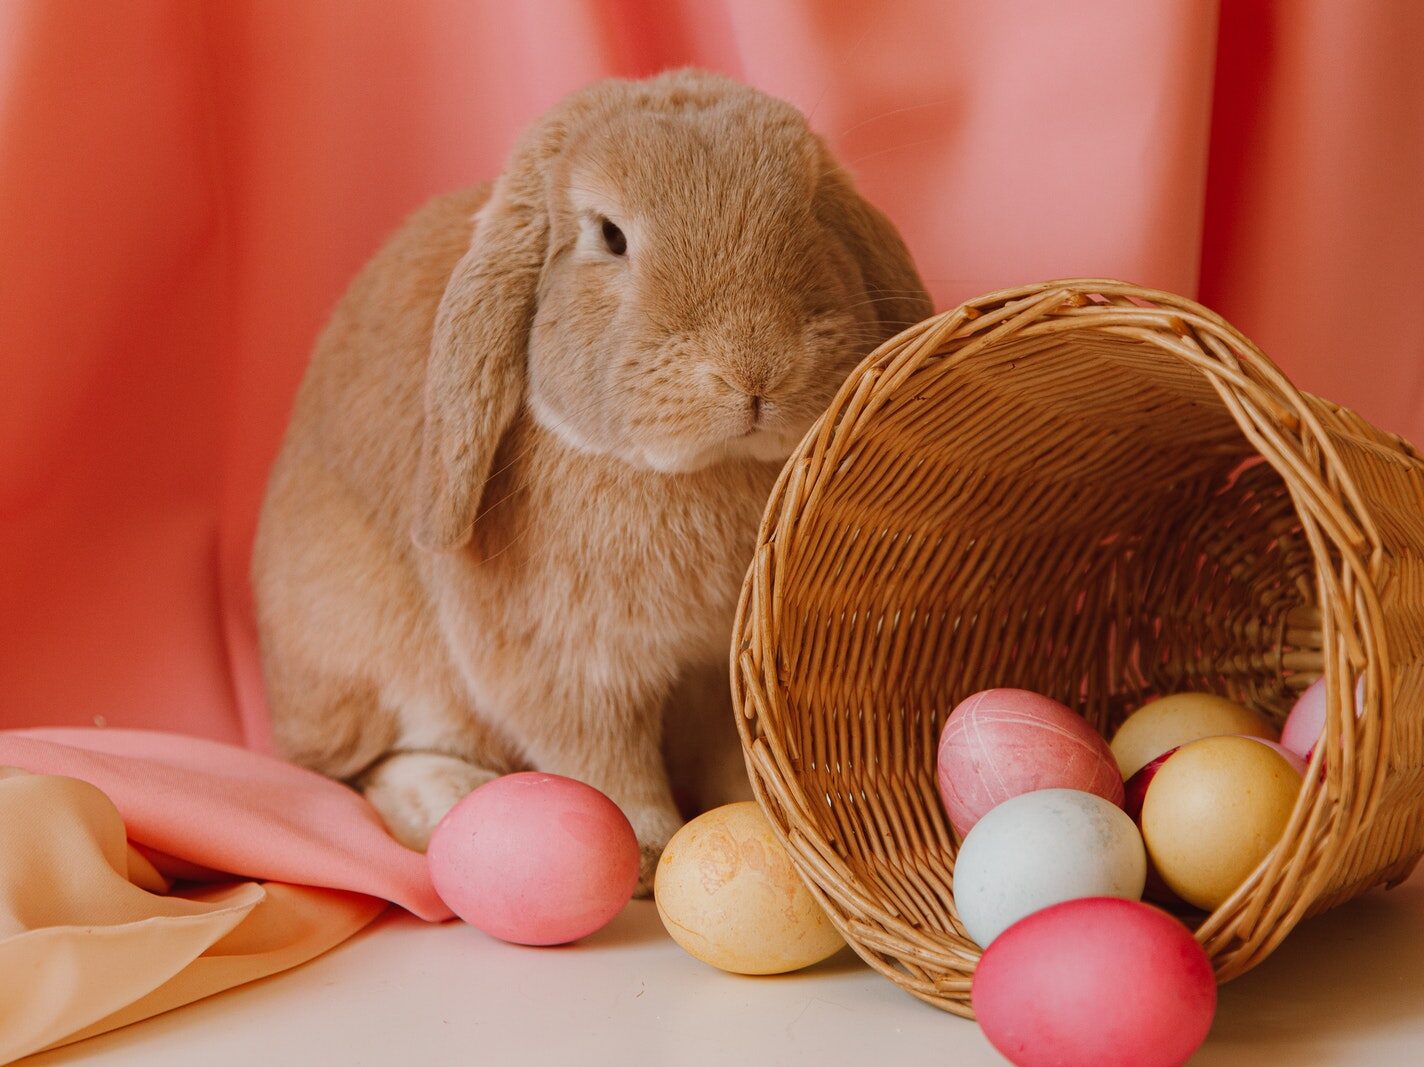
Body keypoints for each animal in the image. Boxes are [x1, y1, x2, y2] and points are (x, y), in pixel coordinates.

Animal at [251, 68, 930, 892]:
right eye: (610, 235)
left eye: (809, 208)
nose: (754, 367)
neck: (700, 469)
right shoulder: (572, 666)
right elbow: (603, 761)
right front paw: (644, 851)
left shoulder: (720, 673)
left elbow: (728, 752)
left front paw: (761, 818)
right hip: (371, 660)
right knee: (370, 767)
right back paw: (448, 797)